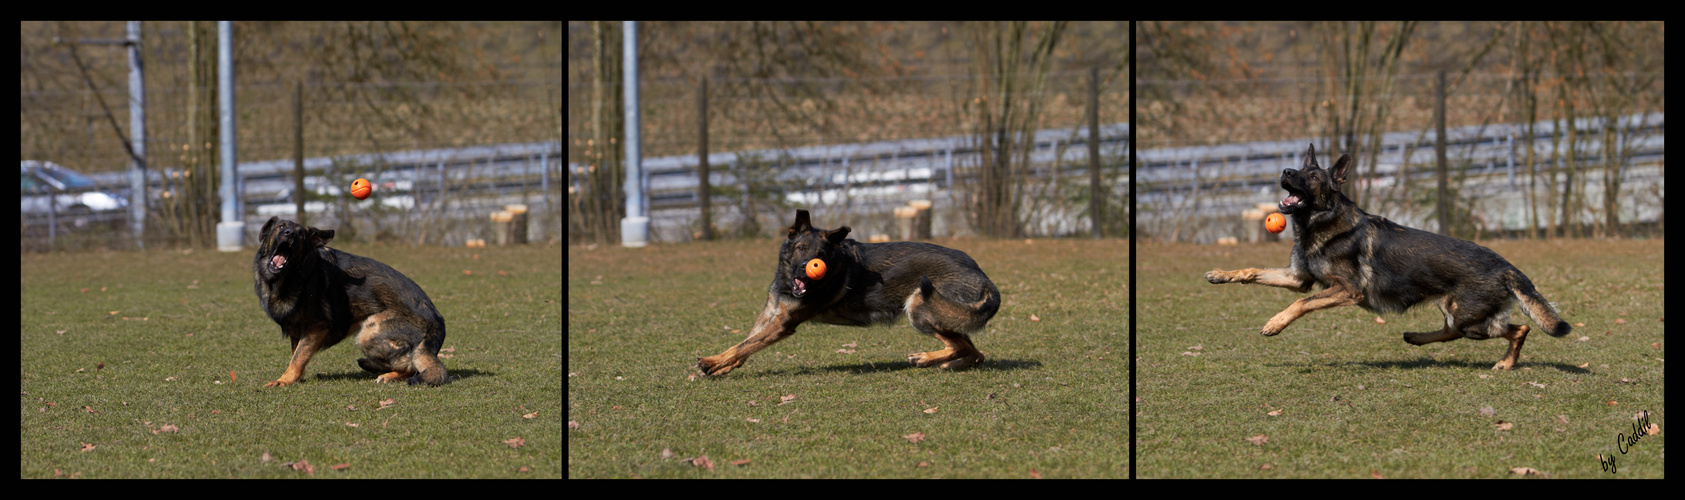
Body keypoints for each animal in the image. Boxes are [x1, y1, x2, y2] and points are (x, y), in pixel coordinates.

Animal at [251, 215, 448, 385]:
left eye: (300, 234)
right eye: (281, 227)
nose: (290, 233)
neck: (288, 278)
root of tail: (438, 322)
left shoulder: (316, 326)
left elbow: (298, 357)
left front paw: (284, 380)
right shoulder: (297, 331)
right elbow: (297, 355)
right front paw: (294, 378)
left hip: (369, 332)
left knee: (411, 366)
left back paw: (385, 374)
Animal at [697, 207, 997, 375]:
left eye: (821, 255)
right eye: (801, 248)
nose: (806, 269)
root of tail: (984, 279)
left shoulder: (783, 323)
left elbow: (744, 344)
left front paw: (712, 362)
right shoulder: (771, 312)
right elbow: (746, 343)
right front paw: (724, 366)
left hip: (920, 307)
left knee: (960, 345)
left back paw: (925, 358)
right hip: (943, 314)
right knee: (973, 351)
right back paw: (948, 364)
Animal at [1199, 143, 1563, 370]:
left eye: (1313, 176)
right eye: (1299, 169)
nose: (1286, 171)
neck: (1322, 221)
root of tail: (1507, 267)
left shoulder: (1346, 291)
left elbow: (1300, 303)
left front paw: (1274, 323)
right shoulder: (1298, 278)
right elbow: (1253, 270)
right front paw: (1220, 274)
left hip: (1467, 317)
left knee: (1518, 329)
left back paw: (1505, 362)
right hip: (1455, 311)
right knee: (1455, 331)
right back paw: (1415, 338)